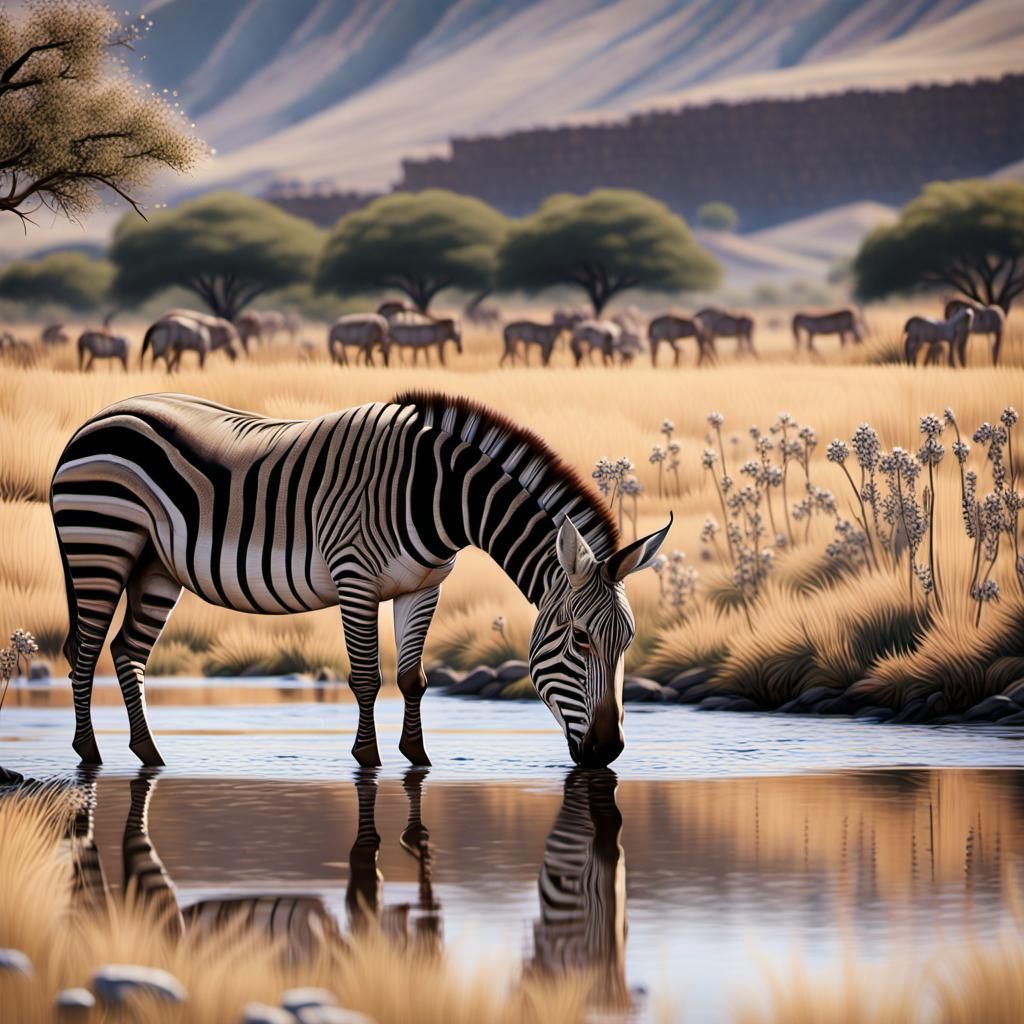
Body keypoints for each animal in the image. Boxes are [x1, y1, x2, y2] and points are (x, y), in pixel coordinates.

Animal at [51, 392, 670, 770]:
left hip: (156, 565)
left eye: (628, 641)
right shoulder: (355, 579)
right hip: (100, 544)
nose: (607, 752)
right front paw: (368, 760)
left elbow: (414, 677)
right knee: (85, 651)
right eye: (580, 640)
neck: (438, 495)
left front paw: (418, 757)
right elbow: (367, 677)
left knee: (127, 651)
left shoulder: (424, 585)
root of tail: (100, 416)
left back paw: (149, 753)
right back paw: (89, 753)